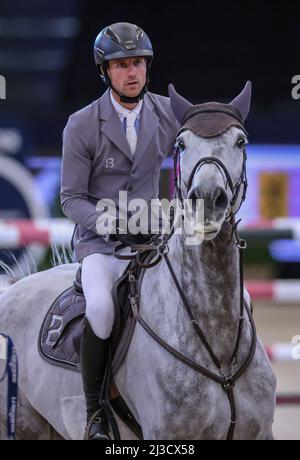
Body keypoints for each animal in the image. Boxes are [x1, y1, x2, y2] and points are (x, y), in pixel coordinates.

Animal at [0, 82, 276, 438]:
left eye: (241, 141)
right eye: (181, 144)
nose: (207, 199)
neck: (218, 338)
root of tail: (12, 288)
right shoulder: (165, 434)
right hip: (21, 423)